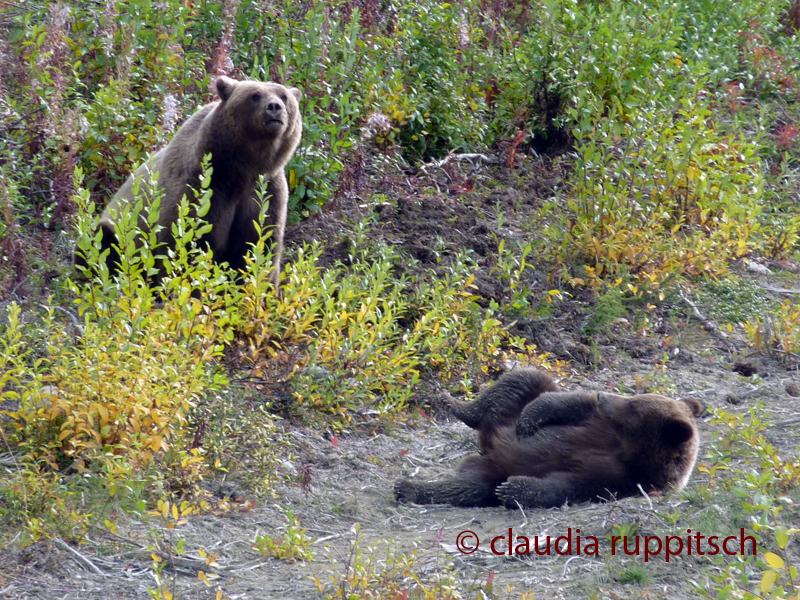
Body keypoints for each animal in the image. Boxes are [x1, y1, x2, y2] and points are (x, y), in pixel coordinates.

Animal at [78, 76, 304, 284]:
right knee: (100, 245)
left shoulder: (266, 191)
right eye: (255, 96)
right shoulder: (202, 186)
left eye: (284, 96)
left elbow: (260, 245)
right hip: (114, 227)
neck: (243, 169)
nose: (274, 107)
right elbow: (186, 244)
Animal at [394, 368, 700, 508]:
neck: (628, 447)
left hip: (489, 469)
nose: (604, 395)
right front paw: (530, 419)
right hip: (510, 408)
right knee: (521, 380)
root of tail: (487, 444)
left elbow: (565, 485)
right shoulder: (597, 423)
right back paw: (451, 403)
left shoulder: (620, 481)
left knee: (469, 487)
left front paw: (513, 489)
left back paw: (409, 488)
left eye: (634, 405)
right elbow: (569, 402)